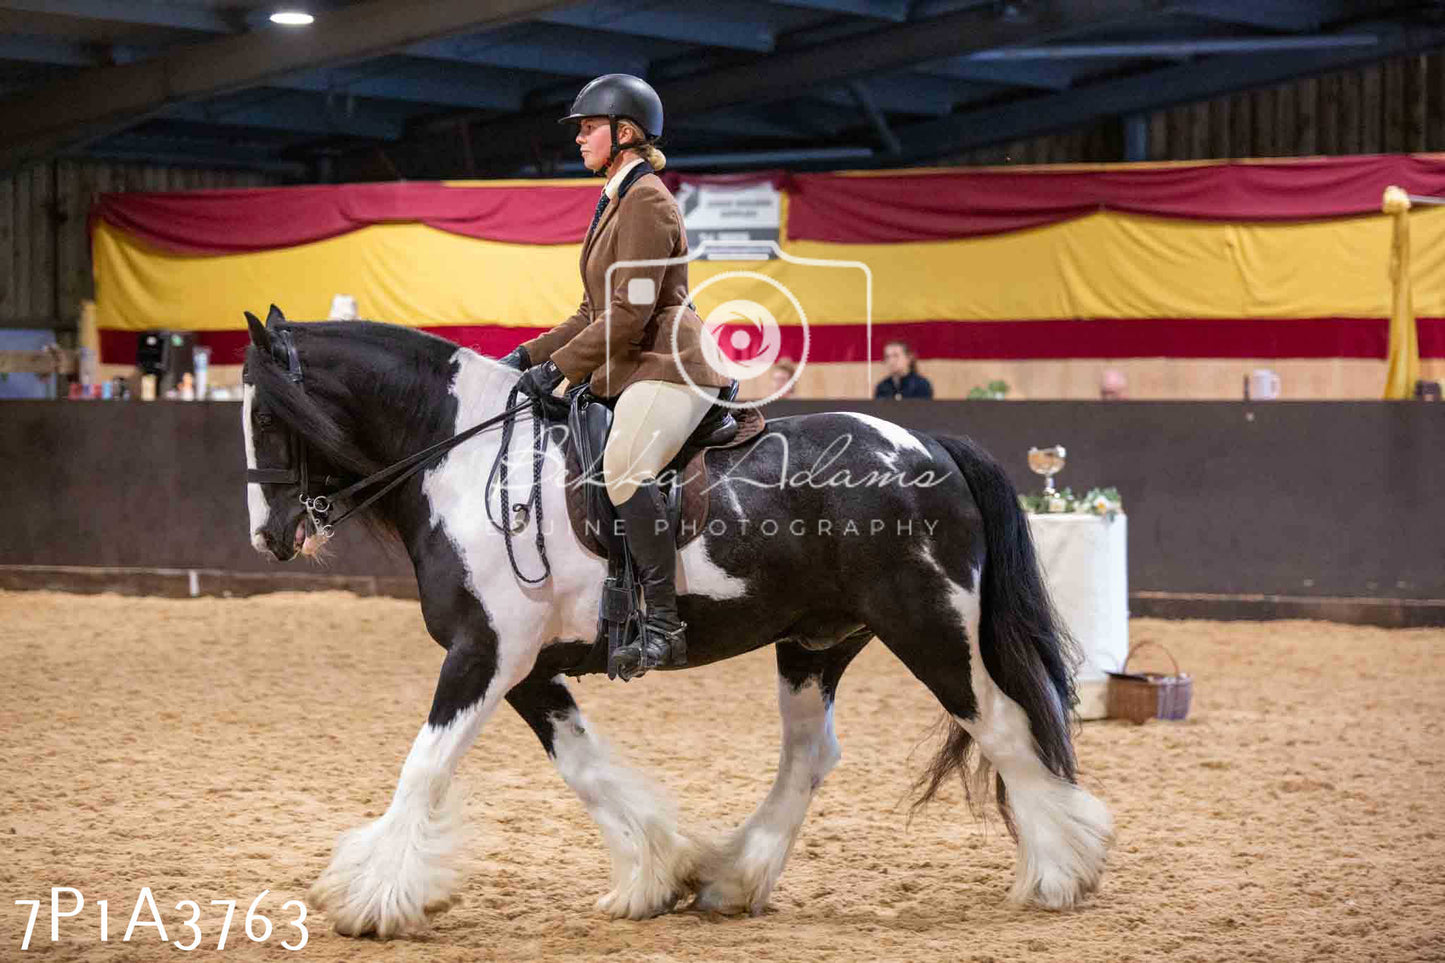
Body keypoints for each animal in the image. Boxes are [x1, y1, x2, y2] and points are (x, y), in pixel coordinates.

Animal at [242, 309, 1109, 936]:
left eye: (266, 419)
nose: (270, 536)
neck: (466, 462)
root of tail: (929, 444)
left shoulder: (482, 653)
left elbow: (423, 767)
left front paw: (368, 898)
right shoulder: (527, 668)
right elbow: (583, 767)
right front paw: (651, 876)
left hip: (928, 628)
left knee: (1004, 725)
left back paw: (1057, 873)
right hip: (815, 640)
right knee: (810, 755)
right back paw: (732, 877)